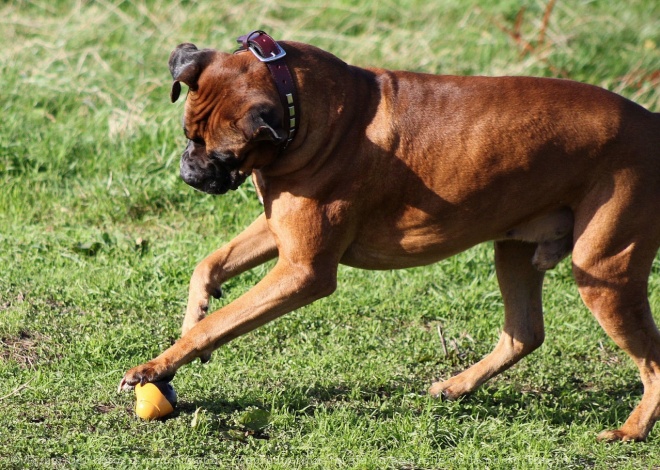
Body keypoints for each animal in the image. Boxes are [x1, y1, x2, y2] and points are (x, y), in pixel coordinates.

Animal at [120, 32, 660, 440]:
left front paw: (155, 365)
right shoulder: (278, 234)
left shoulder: (303, 271)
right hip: (515, 250)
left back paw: (632, 431)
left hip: (604, 272)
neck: (297, 103)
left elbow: (222, 320)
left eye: (224, 153)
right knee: (523, 334)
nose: (190, 174)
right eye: (188, 134)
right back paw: (456, 387)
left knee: (651, 362)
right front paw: (187, 332)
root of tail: (653, 123)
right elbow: (208, 267)